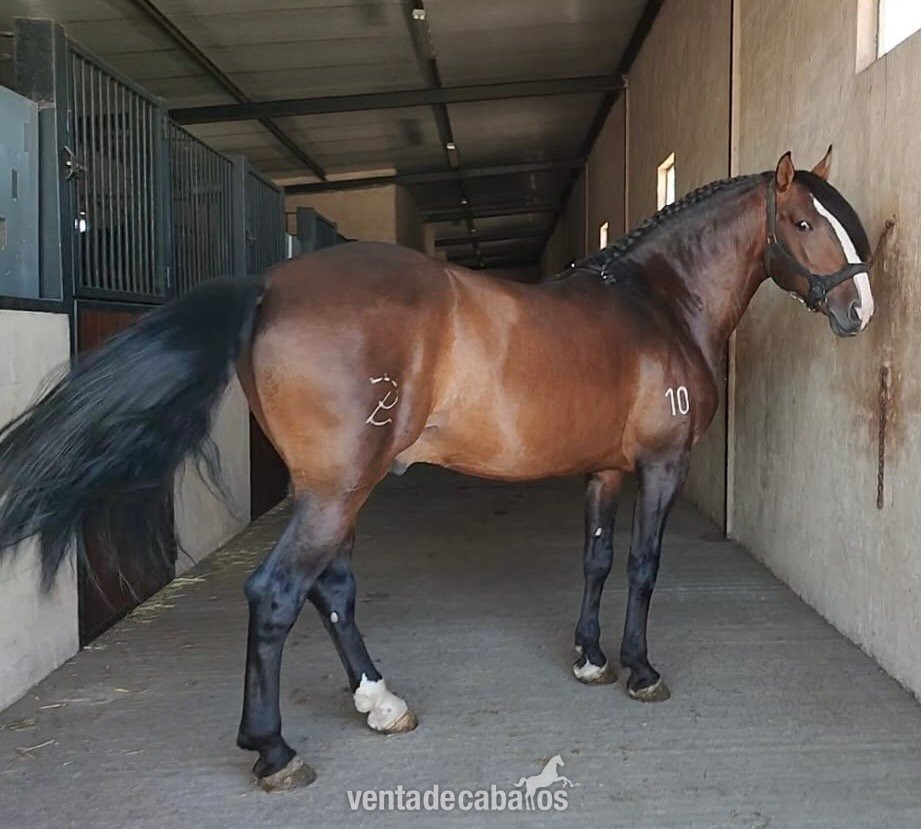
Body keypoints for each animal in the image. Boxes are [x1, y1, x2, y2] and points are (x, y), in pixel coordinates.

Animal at [0, 148, 875, 790]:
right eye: (803, 220)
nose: (858, 311)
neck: (657, 304)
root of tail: (268, 287)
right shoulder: (660, 464)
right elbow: (644, 564)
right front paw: (639, 668)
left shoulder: (603, 471)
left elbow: (595, 559)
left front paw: (589, 658)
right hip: (337, 490)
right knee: (278, 593)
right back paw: (275, 749)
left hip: (333, 489)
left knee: (332, 587)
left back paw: (380, 701)